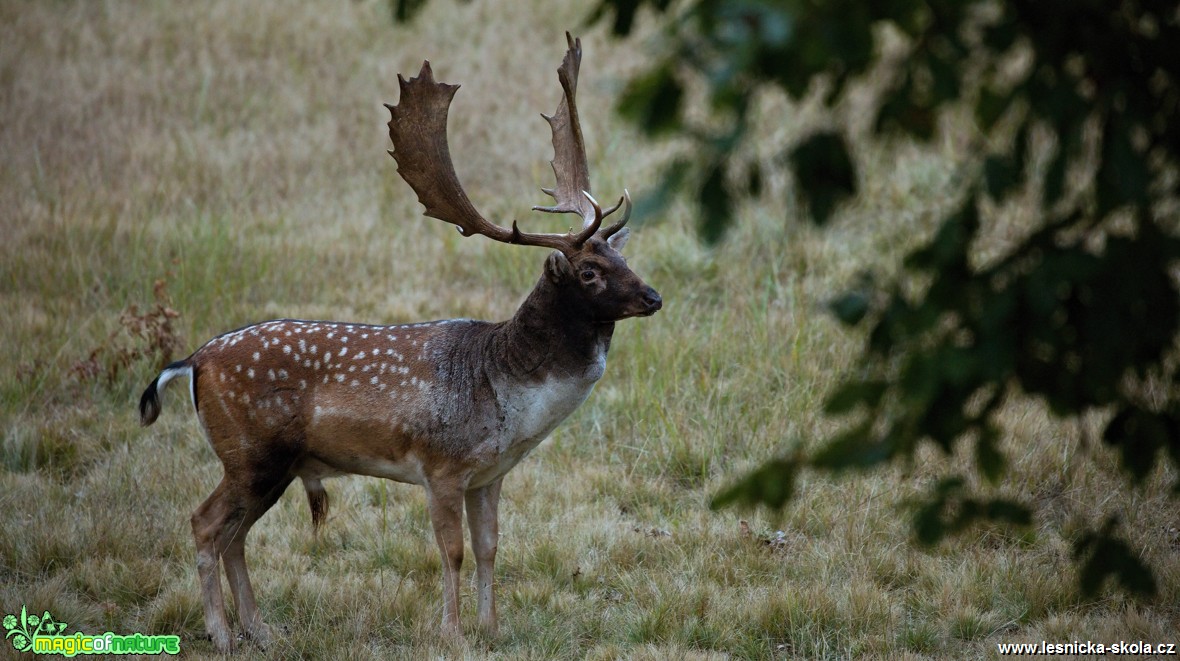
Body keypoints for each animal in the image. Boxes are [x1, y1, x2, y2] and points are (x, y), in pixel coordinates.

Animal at [138, 32, 665, 651]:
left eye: (622, 257)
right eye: (588, 272)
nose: (653, 296)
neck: (507, 396)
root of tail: (192, 362)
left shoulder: (491, 474)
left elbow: (491, 547)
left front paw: (491, 629)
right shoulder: (442, 465)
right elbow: (453, 551)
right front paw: (453, 635)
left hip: (273, 465)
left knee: (234, 533)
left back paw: (259, 631)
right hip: (251, 451)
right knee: (205, 524)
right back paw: (221, 634)